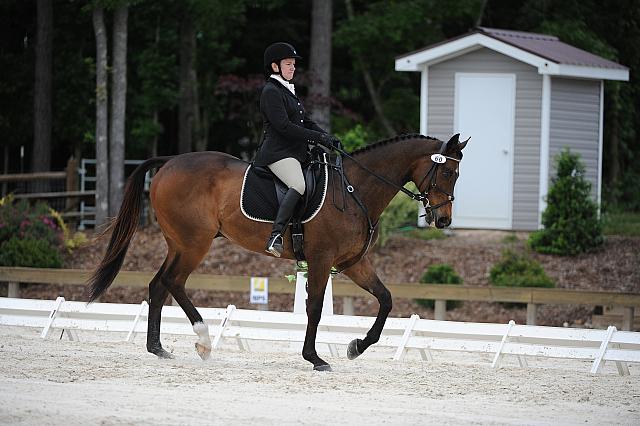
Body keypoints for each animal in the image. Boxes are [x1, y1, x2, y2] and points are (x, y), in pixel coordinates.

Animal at [86, 132, 464, 370]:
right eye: (447, 171)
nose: (443, 219)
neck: (354, 190)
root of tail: (170, 162)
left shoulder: (353, 263)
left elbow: (385, 299)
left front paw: (356, 347)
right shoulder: (321, 260)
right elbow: (314, 308)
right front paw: (314, 358)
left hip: (180, 242)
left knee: (158, 285)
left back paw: (159, 348)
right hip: (195, 243)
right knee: (173, 282)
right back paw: (203, 340)